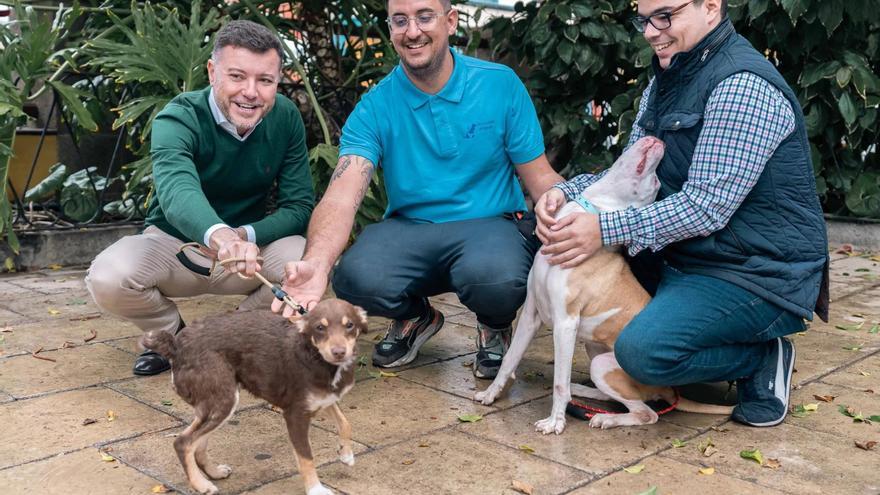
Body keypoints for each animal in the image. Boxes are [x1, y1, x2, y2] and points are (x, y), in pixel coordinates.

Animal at [142, 298, 368, 495]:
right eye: (320, 328)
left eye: (350, 325)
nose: (339, 352)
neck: (316, 356)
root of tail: (176, 346)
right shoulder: (295, 415)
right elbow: (306, 458)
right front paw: (315, 489)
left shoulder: (325, 399)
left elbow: (345, 423)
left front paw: (346, 453)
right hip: (223, 401)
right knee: (183, 442)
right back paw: (201, 484)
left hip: (214, 404)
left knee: (198, 442)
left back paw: (213, 473)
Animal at [474, 137, 728, 434]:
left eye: (654, 183)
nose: (658, 140)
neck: (593, 208)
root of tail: (669, 388)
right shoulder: (530, 314)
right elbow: (509, 360)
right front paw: (491, 394)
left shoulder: (565, 322)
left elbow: (558, 383)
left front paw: (555, 422)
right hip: (593, 352)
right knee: (610, 396)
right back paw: (583, 392)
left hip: (602, 365)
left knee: (646, 413)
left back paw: (605, 418)